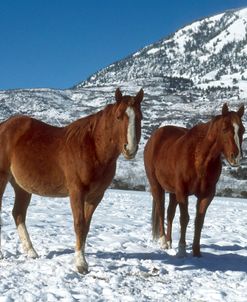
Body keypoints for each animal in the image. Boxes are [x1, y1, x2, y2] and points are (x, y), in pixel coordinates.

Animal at [0, 88, 143, 274]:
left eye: (139, 117)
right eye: (118, 117)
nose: (130, 149)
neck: (93, 148)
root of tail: (5, 125)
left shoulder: (96, 196)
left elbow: (86, 226)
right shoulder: (77, 192)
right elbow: (79, 224)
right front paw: (81, 264)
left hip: (21, 186)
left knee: (18, 213)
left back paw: (31, 252)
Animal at [144, 104, 244, 258]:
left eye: (243, 130)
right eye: (224, 129)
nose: (236, 158)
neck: (200, 158)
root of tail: (155, 136)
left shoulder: (206, 195)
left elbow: (199, 221)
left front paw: (196, 252)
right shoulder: (182, 192)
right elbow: (184, 219)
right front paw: (182, 250)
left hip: (173, 193)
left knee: (170, 214)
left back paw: (170, 241)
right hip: (157, 186)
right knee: (161, 211)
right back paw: (164, 242)